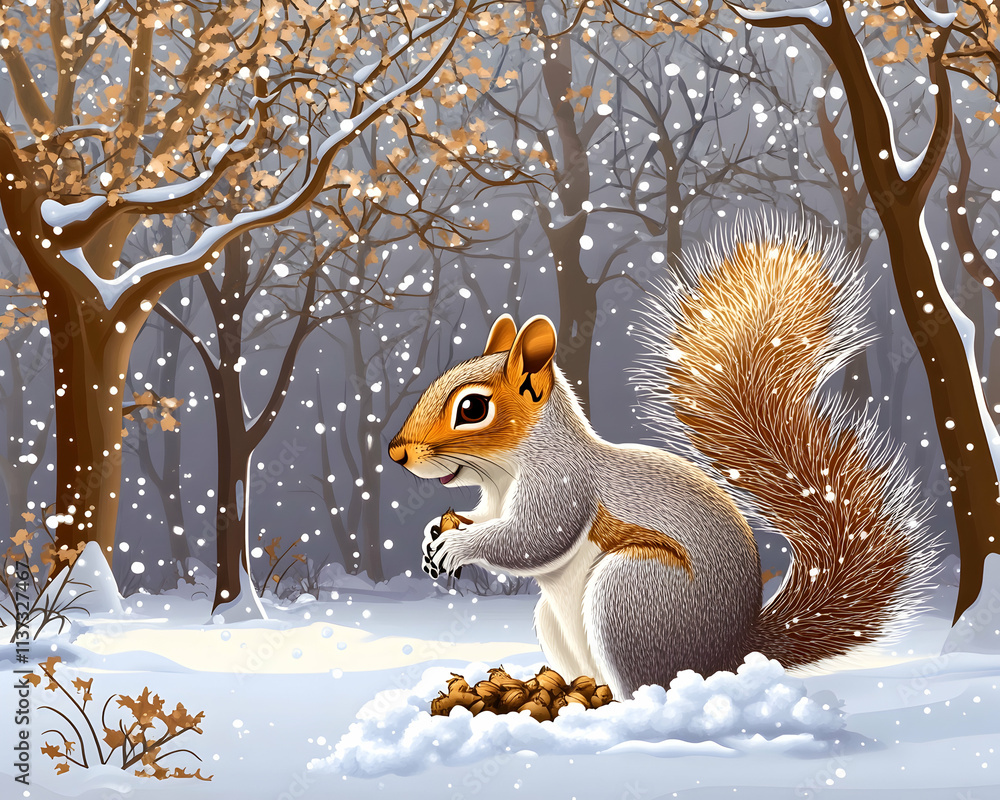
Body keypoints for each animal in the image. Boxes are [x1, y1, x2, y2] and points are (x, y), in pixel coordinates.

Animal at [388, 217, 935, 700]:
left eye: (472, 409)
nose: (396, 452)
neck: (506, 472)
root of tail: (729, 657)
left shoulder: (563, 485)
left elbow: (533, 538)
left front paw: (459, 545)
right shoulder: (494, 500)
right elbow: (486, 519)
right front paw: (435, 532)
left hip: (632, 595)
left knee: (643, 680)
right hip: (562, 620)